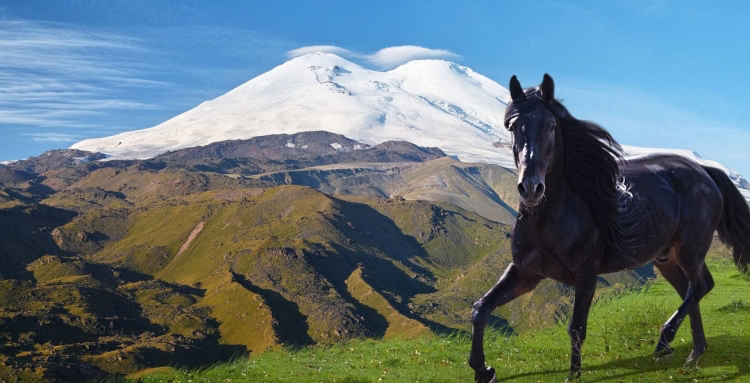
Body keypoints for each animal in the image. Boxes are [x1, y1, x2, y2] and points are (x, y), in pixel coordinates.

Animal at [470, 73, 750, 382]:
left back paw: (665, 341)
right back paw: (694, 353)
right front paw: (483, 370)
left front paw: (573, 375)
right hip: (667, 259)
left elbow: (576, 327)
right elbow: (481, 308)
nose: (531, 188)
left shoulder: (586, 274)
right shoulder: (525, 273)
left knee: (700, 285)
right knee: (692, 289)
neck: (551, 217)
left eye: (551, 126)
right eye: (512, 126)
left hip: (691, 249)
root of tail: (705, 171)